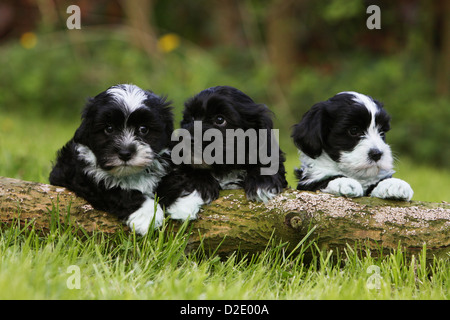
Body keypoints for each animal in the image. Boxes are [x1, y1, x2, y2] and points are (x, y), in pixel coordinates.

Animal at [49, 84, 174, 234]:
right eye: (109, 129)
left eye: (143, 129)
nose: (125, 153)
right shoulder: (85, 176)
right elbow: (116, 190)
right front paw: (148, 215)